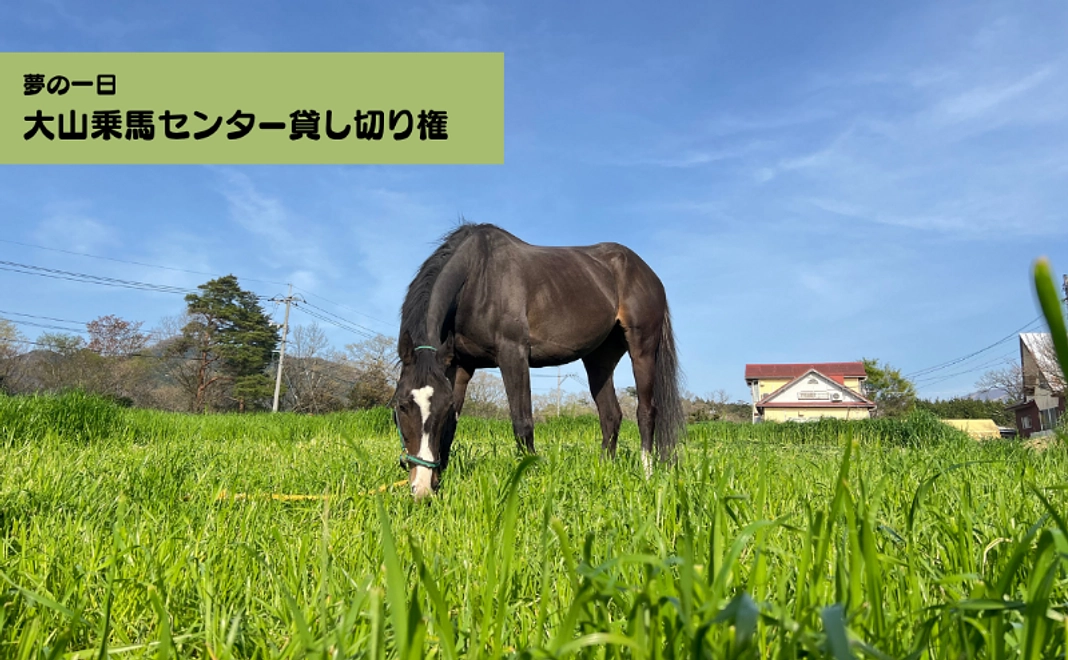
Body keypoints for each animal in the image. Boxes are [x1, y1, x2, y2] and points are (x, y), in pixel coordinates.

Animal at [391, 222, 685, 500]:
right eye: (401, 405)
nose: (421, 488)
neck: (477, 277)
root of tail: (646, 272)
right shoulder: (460, 365)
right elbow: (452, 427)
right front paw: (439, 480)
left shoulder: (513, 354)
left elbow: (522, 422)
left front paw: (527, 476)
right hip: (599, 358)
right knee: (611, 415)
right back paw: (605, 471)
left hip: (643, 348)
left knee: (646, 412)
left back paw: (647, 474)